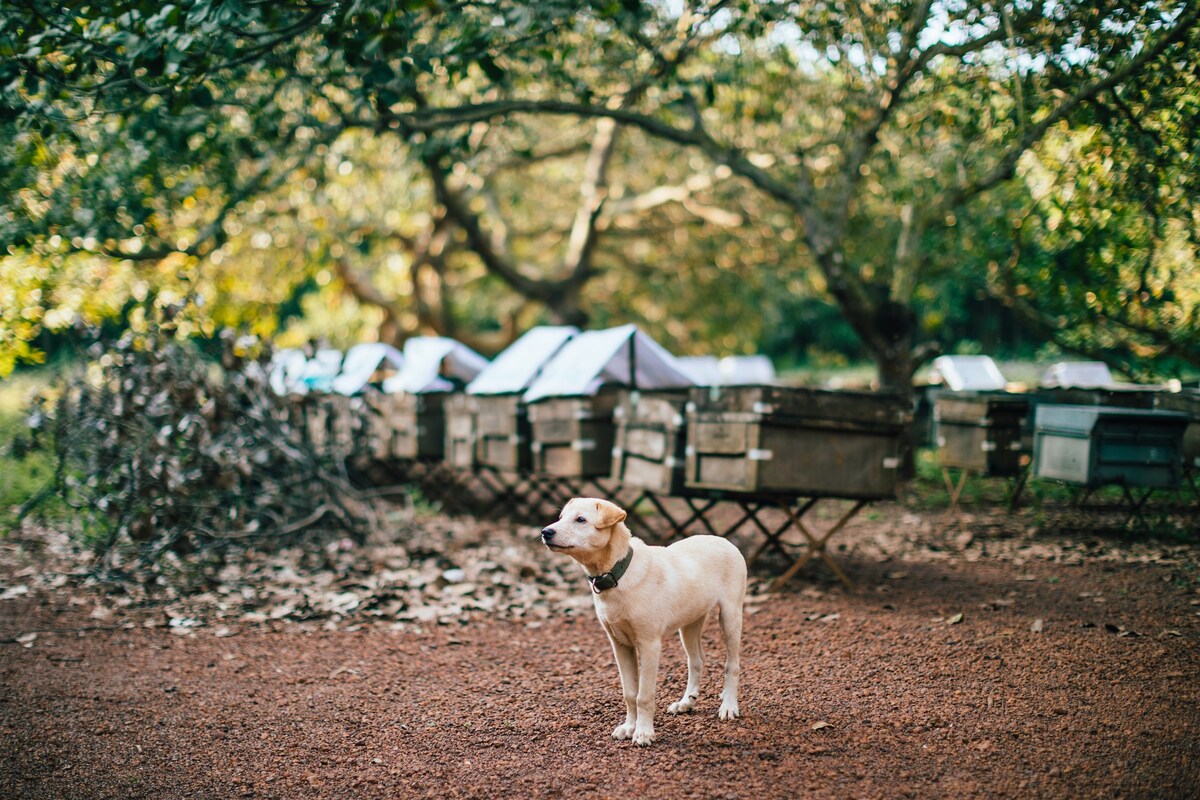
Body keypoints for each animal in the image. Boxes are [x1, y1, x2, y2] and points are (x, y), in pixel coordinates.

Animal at [547, 496, 748, 748]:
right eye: (561, 517)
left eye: (580, 519)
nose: (545, 532)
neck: (618, 574)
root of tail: (724, 540)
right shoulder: (620, 645)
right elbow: (630, 693)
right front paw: (629, 727)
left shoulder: (649, 644)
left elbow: (644, 695)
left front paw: (643, 733)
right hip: (690, 624)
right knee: (697, 661)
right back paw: (686, 702)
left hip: (730, 616)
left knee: (732, 664)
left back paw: (728, 706)